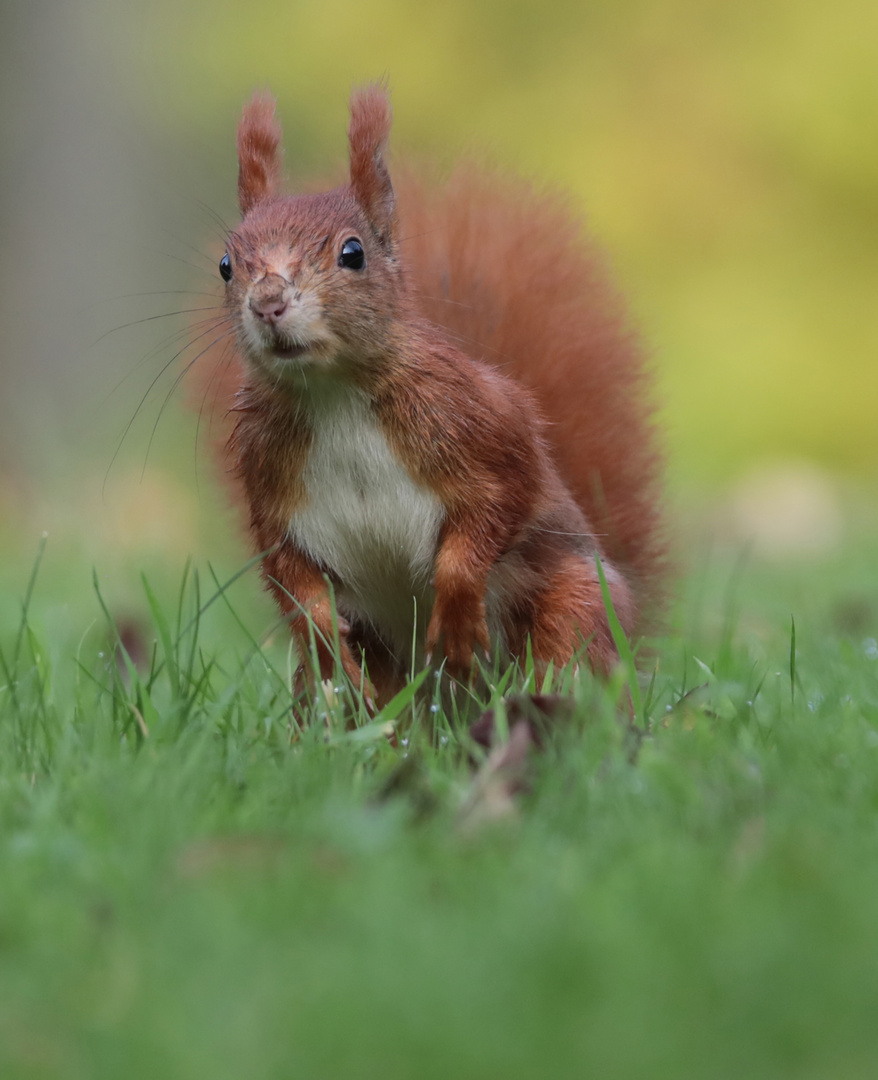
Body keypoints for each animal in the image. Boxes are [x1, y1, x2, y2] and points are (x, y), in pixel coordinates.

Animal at [208, 84, 665, 708]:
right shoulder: (269, 484)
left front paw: (456, 621)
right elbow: (291, 576)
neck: (334, 393)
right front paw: (325, 641)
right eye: (226, 266)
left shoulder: (480, 425)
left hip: (572, 602)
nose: (269, 303)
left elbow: (498, 507)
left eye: (353, 254)